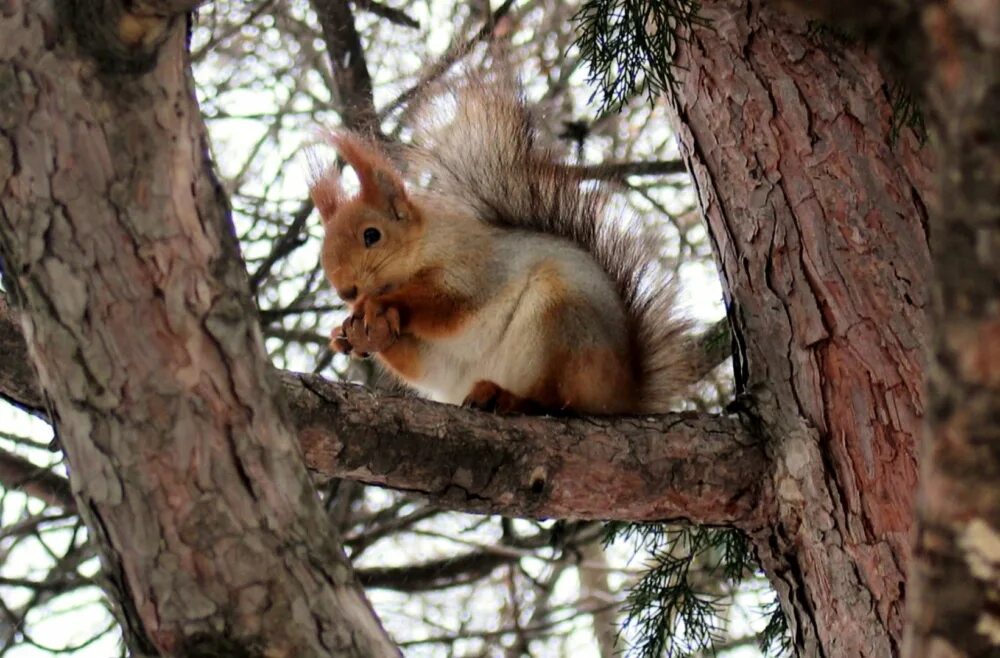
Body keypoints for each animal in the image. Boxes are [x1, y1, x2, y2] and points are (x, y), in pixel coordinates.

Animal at [310, 77, 696, 412]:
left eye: (371, 235)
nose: (346, 291)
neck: (424, 246)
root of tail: (623, 398)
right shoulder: (432, 351)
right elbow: (413, 356)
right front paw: (352, 335)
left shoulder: (475, 267)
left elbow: (446, 304)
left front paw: (377, 304)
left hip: (564, 322)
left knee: (557, 400)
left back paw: (510, 399)